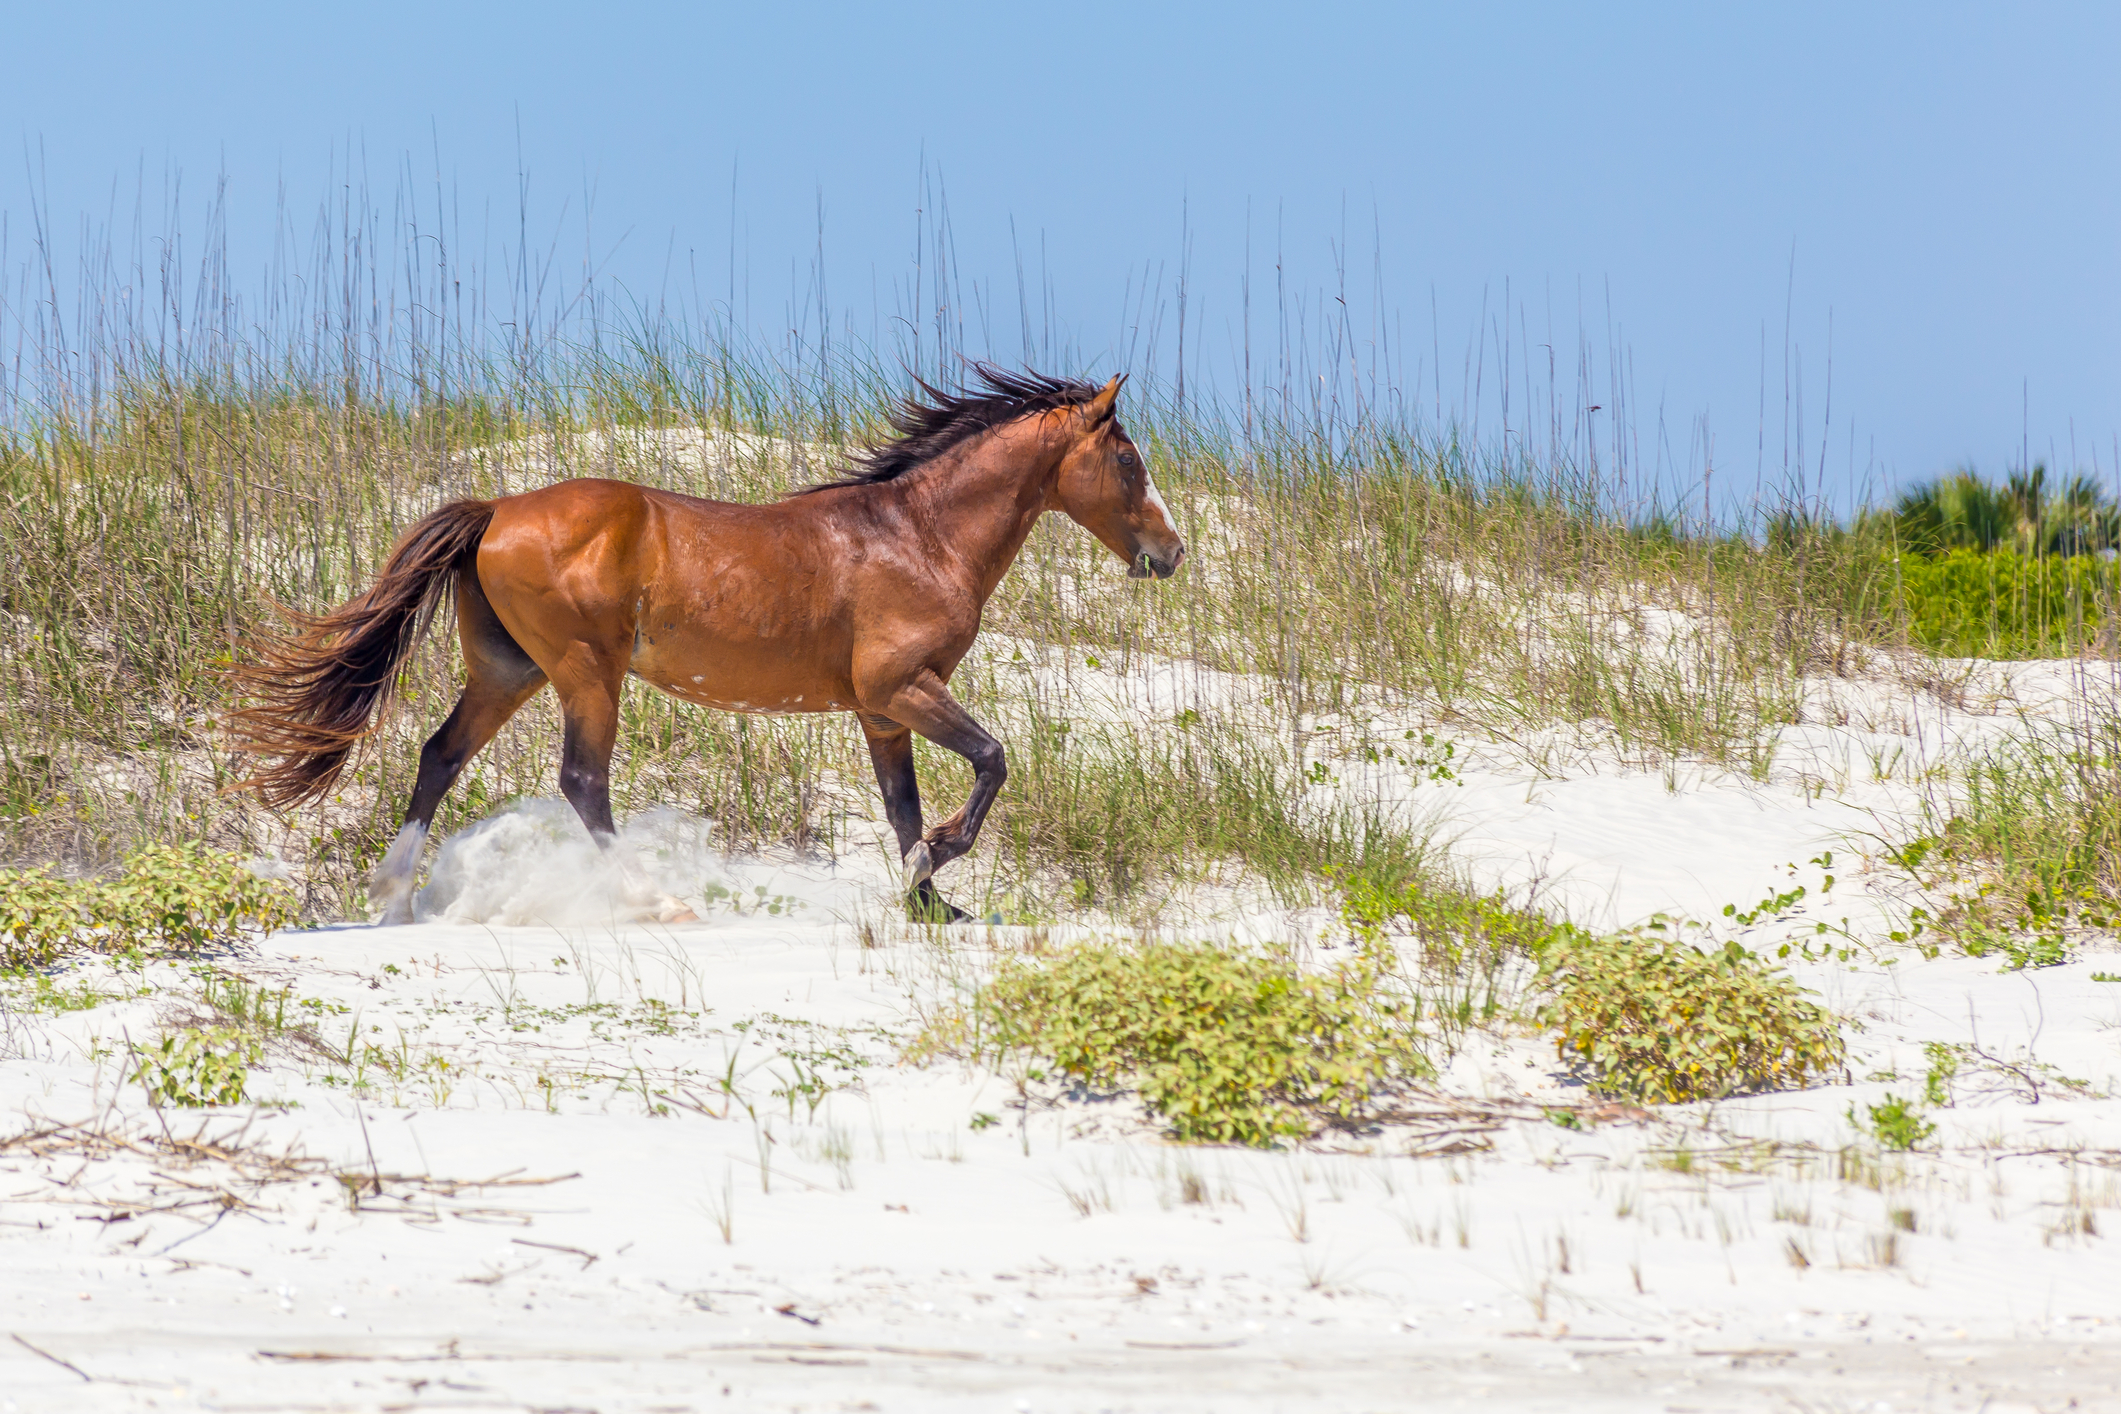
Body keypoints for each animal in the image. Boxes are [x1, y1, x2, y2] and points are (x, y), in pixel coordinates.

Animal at [238, 364, 1196, 924]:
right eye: (1129, 461)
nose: (1171, 552)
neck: (917, 535)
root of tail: (498, 508)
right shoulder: (901, 689)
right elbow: (991, 761)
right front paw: (941, 858)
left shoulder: (881, 714)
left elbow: (901, 806)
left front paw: (927, 903)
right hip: (586, 672)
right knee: (582, 781)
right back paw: (649, 898)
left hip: (508, 672)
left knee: (439, 754)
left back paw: (394, 898)